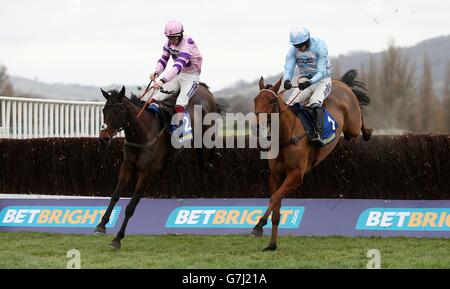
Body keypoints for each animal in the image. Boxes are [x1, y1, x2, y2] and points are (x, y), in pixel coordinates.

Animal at [251, 69, 370, 250]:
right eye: (255, 100)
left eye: (271, 101)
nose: (256, 126)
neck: (287, 136)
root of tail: (340, 83)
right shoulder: (275, 175)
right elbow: (276, 206)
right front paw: (271, 245)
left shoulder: (296, 175)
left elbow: (274, 197)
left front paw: (258, 225)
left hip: (353, 124)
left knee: (360, 125)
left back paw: (369, 133)